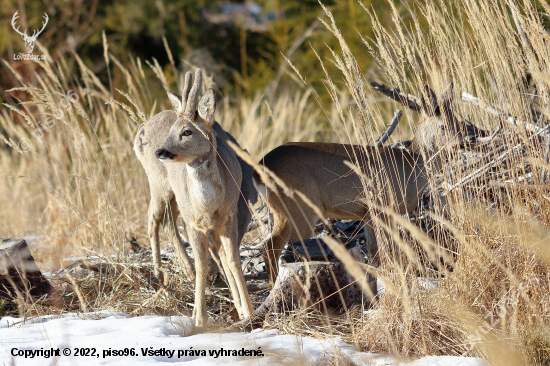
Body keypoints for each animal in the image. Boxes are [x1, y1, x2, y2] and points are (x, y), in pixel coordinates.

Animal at [144, 68, 256, 326]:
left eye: (187, 131)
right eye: (172, 131)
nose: (160, 151)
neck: (208, 207)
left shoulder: (229, 216)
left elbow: (233, 260)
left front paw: (248, 311)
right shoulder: (194, 224)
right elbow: (203, 266)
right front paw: (200, 318)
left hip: (175, 198)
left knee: (168, 223)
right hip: (159, 185)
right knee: (153, 220)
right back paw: (160, 278)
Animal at [253, 83, 466, 294]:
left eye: (458, 123)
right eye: (443, 125)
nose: (462, 143)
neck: (411, 166)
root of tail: (259, 168)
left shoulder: (371, 214)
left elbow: (381, 251)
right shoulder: (379, 207)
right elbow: (383, 251)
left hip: (281, 211)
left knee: (270, 247)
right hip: (302, 206)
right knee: (293, 249)